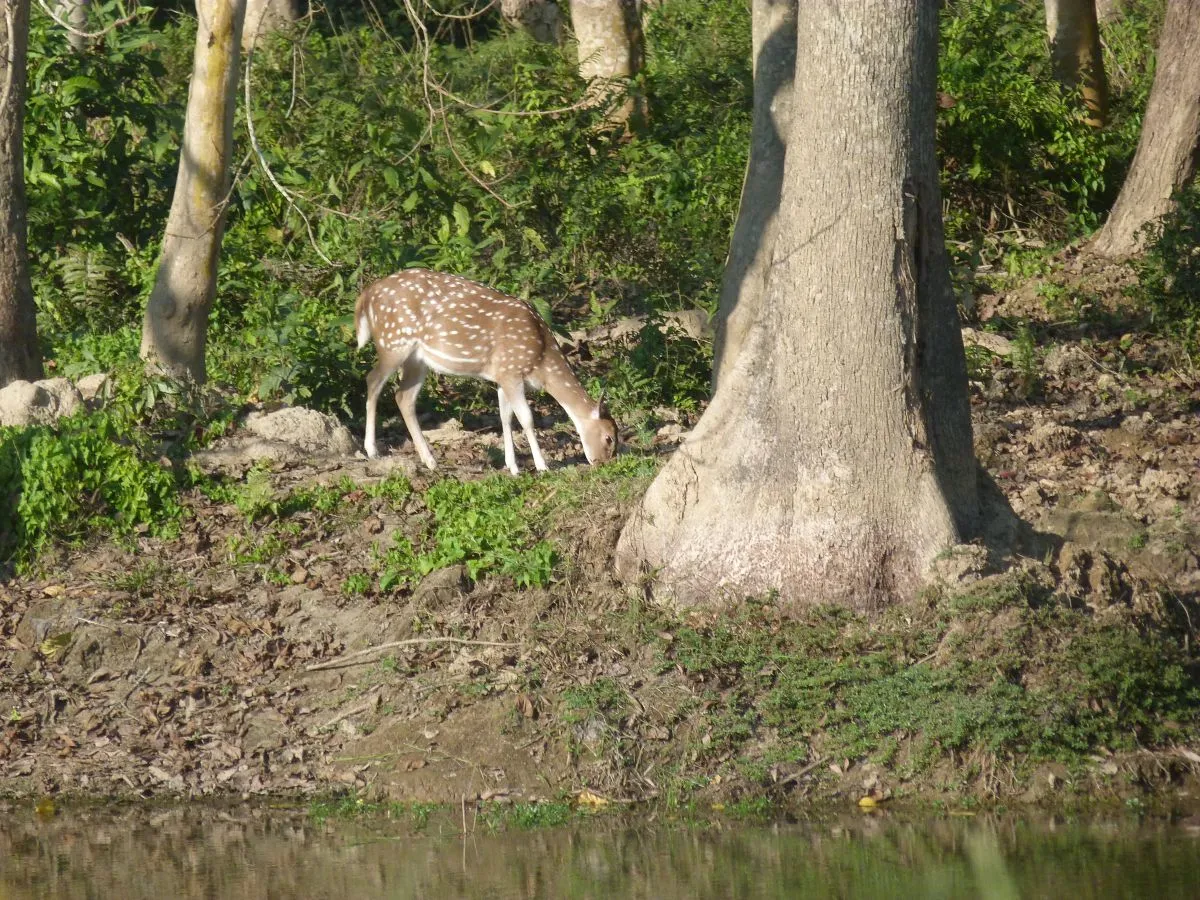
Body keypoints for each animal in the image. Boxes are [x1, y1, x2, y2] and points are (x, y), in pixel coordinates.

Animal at [355, 268, 618, 475]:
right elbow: (527, 418)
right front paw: (542, 466)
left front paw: (513, 466)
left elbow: (505, 417)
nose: (603, 463)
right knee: (373, 380)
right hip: (394, 342)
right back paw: (372, 450)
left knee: (403, 397)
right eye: (609, 438)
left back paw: (430, 460)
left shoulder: (501, 376)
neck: (541, 360)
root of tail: (366, 294)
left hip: (417, 360)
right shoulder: (512, 372)